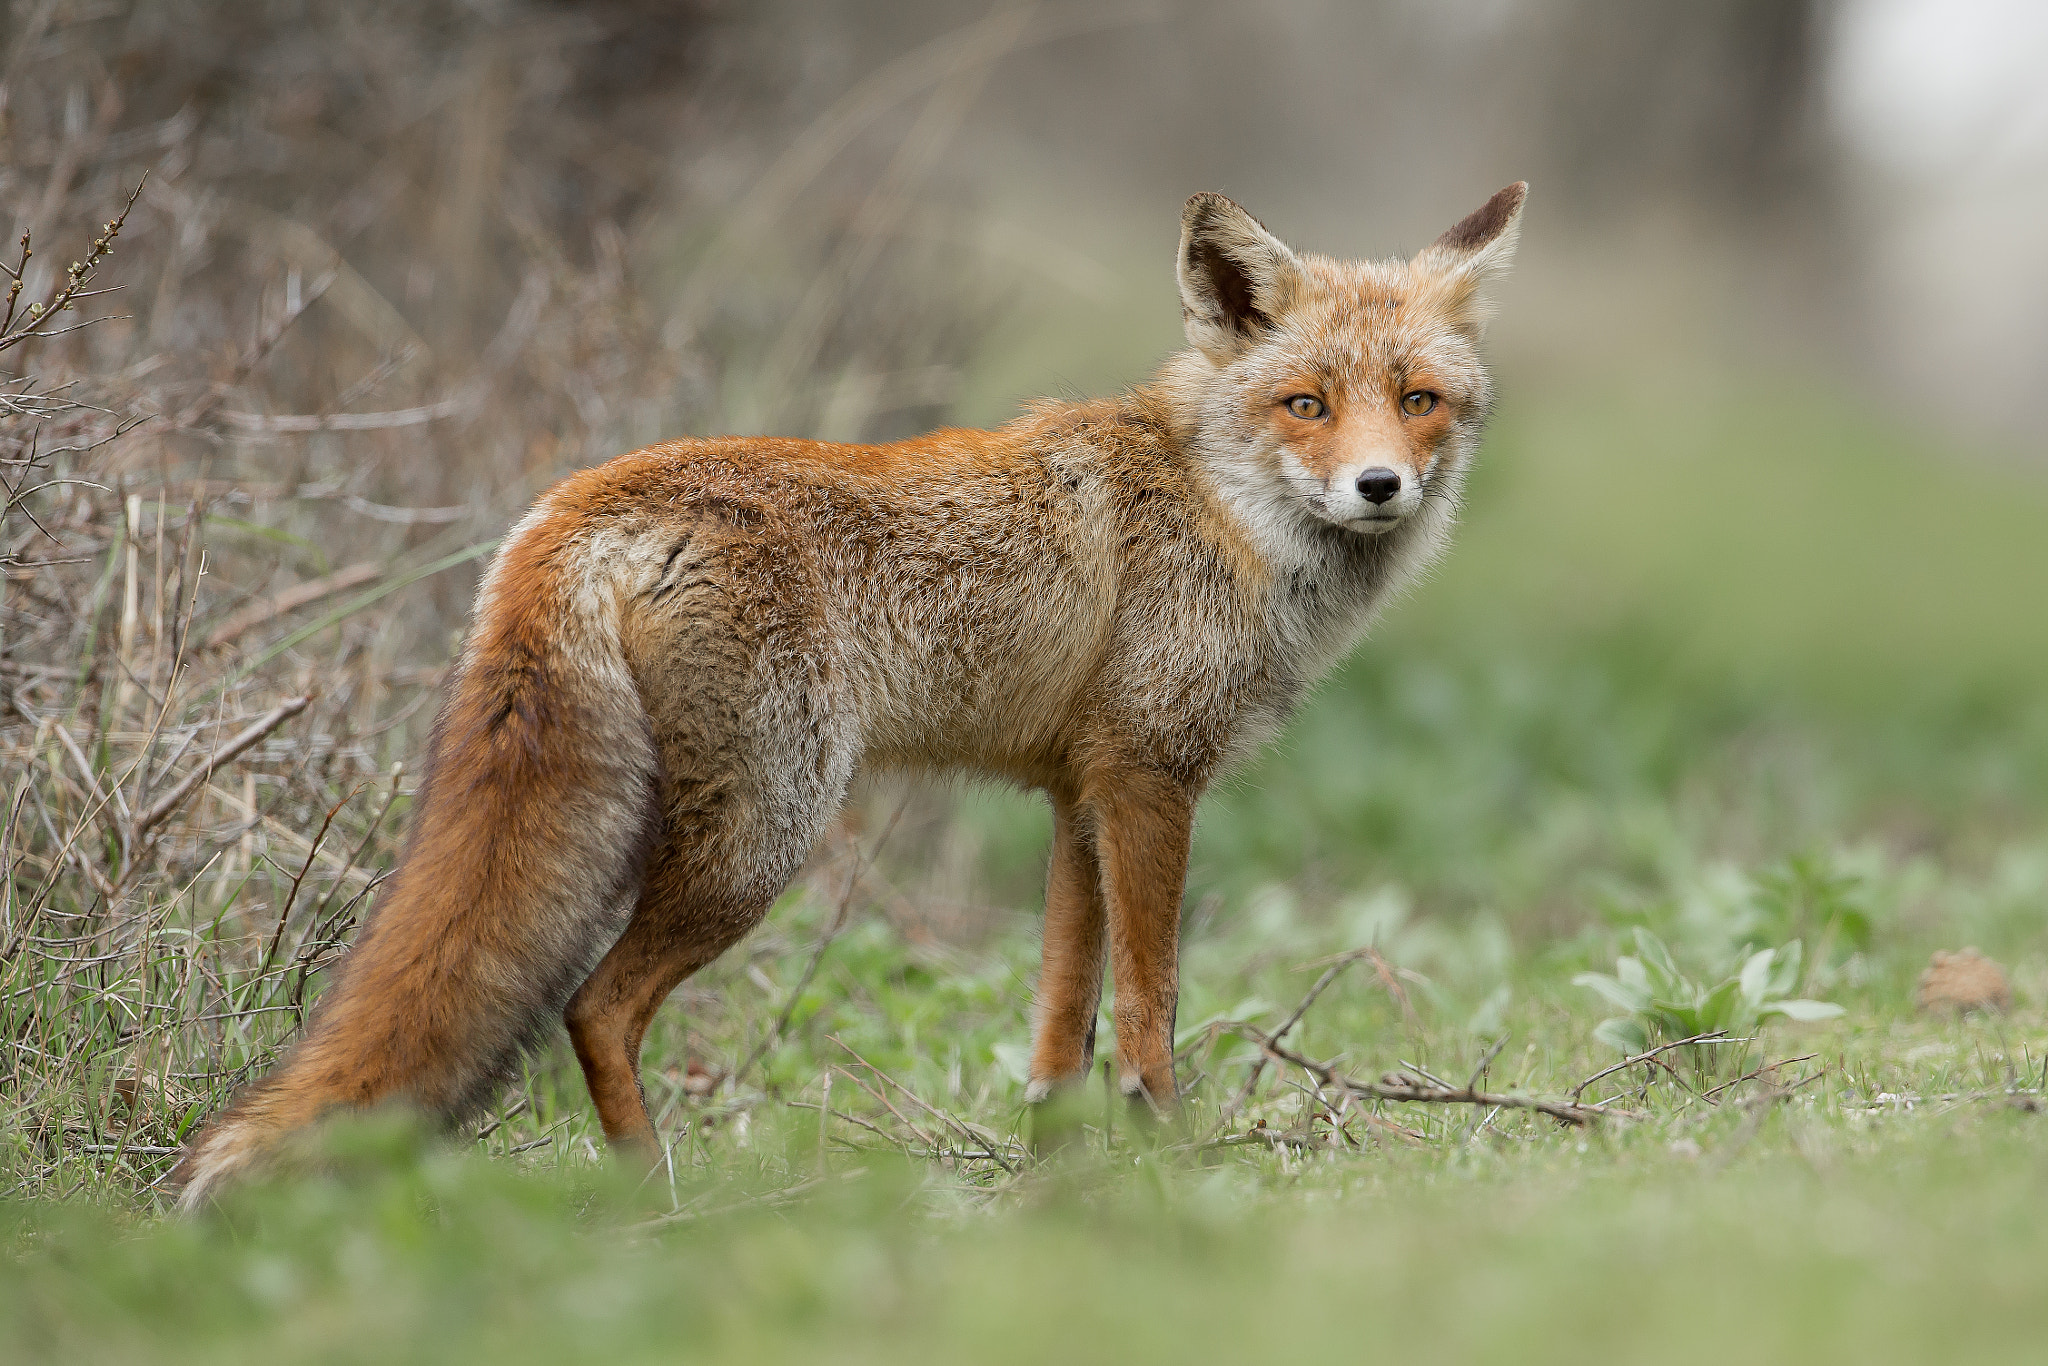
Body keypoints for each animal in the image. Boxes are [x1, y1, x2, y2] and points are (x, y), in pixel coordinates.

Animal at [172, 184, 1523, 1204]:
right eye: (1305, 404)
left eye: (1417, 401)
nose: (1378, 487)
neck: (1217, 508)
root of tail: (576, 501)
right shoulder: (1149, 778)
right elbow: (1147, 1009)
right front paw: (1168, 1160)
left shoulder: (1076, 794)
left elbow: (1058, 1022)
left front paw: (1058, 1179)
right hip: (764, 834)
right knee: (595, 1005)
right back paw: (657, 1197)